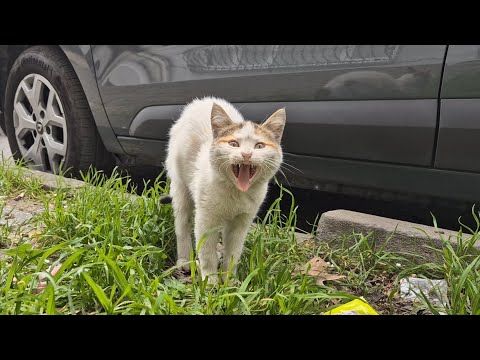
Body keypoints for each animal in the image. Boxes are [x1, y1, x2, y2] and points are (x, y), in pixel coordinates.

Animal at [163, 96, 286, 284]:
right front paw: (210, 281)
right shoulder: (206, 220)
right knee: (182, 224)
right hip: (180, 186)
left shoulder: (242, 222)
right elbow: (206, 252)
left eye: (259, 146)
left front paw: (230, 281)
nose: (246, 154)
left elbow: (233, 252)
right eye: (233, 143)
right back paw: (185, 260)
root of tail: (201, 101)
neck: (236, 193)